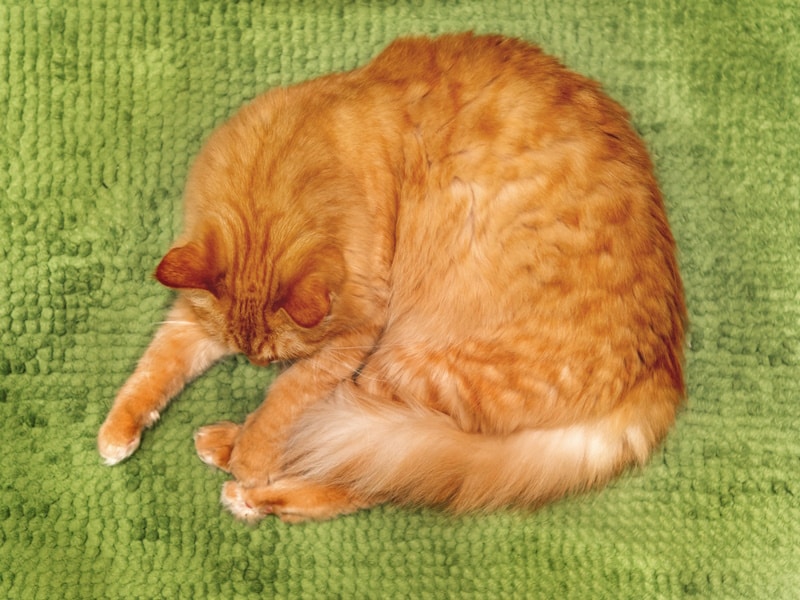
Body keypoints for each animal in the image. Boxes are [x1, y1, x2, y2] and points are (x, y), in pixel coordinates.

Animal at [98, 32, 688, 524]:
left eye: (271, 360)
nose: (255, 365)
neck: (292, 159)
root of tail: (659, 377)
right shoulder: (196, 314)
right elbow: (156, 366)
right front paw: (117, 431)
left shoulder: (357, 329)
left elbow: (289, 394)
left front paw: (253, 450)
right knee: (365, 469)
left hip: (404, 369)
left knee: (352, 469)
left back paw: (240, 470)